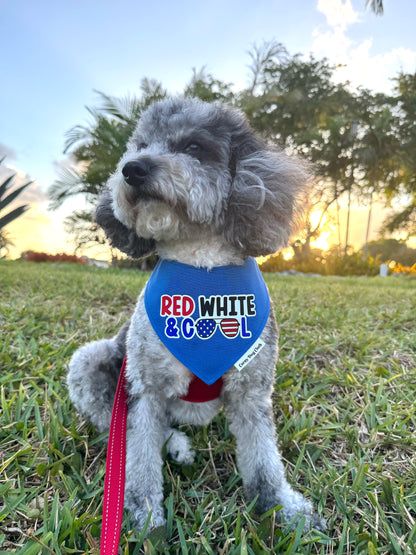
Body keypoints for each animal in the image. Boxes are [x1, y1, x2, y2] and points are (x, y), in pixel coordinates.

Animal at [66, 96, 324, 536]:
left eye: (192, 147)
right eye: (140, 145)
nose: (132, 169)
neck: (201, 272)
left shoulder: (251, 390)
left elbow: (263, 462)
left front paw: (282, 509)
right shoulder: (145, 389)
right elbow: (139, 460)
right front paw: (145, 519)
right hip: (92, 360)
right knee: (127, 426)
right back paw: (178, 446)